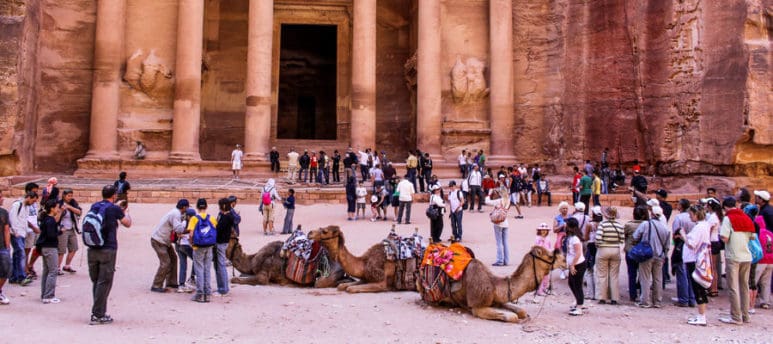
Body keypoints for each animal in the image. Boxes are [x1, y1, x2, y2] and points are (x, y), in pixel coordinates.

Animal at [426, 247, 564, 322]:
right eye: (550, 256)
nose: (564, 261)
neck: (494, 285)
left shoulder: (498, 300)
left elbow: (521, 311)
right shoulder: (477, 307)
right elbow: (512, 317)